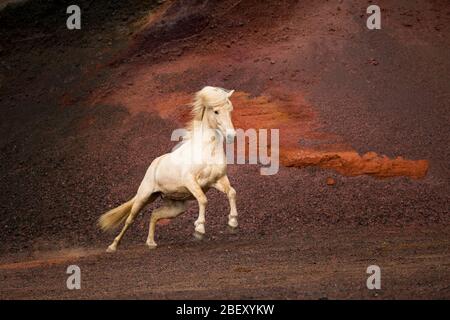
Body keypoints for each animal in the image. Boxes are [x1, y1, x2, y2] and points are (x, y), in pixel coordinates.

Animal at [99, 86, 239, 251]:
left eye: (230, 109)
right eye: (216, 111)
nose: (231, 136)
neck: (207, 150)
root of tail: (154, 164)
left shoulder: (217, 180)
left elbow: (231, 193)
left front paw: (233, 223)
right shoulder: (191, 181)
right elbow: (203, 200)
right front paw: (199, 229)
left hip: (176, 207)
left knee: (155, 214)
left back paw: (151, 243)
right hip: (144, 197)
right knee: (130, 219)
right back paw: (113, 246)